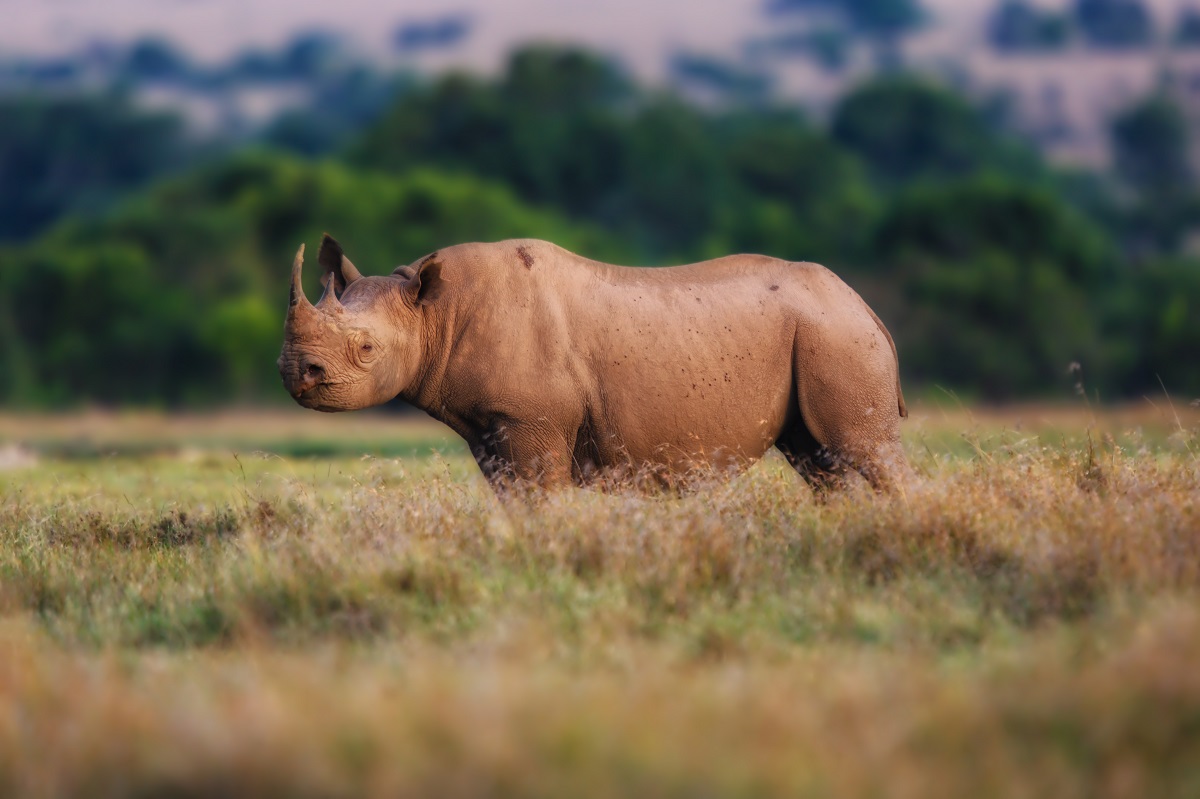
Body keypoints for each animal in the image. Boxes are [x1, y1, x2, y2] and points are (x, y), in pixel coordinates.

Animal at [278, 235, 909, 495]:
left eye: (366, 349)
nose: (294, 374)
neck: (433, 312)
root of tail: (864, 306)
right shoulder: (493, 426)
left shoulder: (531, 420)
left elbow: (541, 500)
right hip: (823, 333)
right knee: (821, 462)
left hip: (836, 336)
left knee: (864, 451)